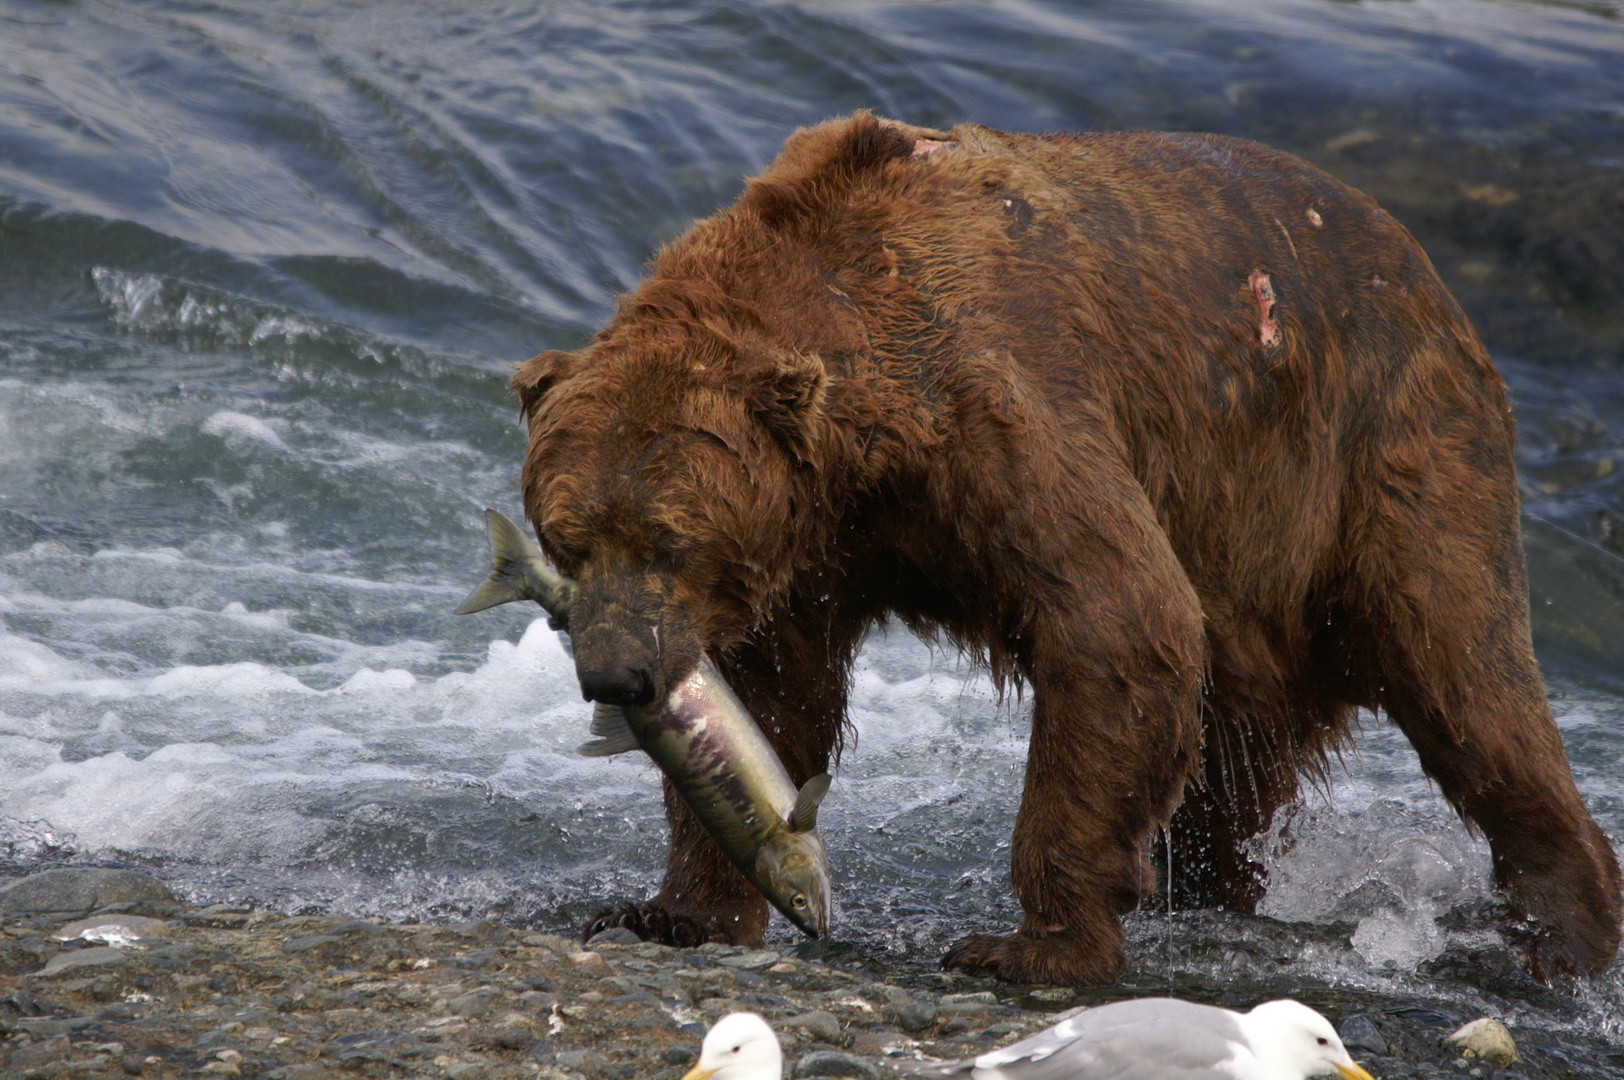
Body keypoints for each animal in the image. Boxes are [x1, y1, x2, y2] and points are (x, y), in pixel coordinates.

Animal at [513, 113, 1617, 980]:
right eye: (567, 537)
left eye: (668, 539)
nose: (617, 674)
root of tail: (1427, 272)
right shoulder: (814, 547)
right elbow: (772, 698)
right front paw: (671, 911)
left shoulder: (1000, 406)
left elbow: (1119, 620)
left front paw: (1029, 945)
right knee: (1232, 767)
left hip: (1389, 453)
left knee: (1465, 673)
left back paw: (1563, 929)